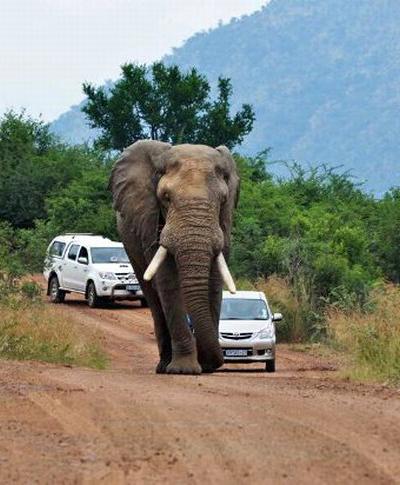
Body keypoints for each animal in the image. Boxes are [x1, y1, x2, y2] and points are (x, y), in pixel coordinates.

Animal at [108, 140, 241, 374]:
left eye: (223, 199)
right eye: (166, 198)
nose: (213, 363)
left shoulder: (224, 225)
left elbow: (214, 281)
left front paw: (204, 366)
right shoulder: (150, 222)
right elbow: (168, 281)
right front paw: (184, 370)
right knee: (153, 296)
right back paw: (164, 366)